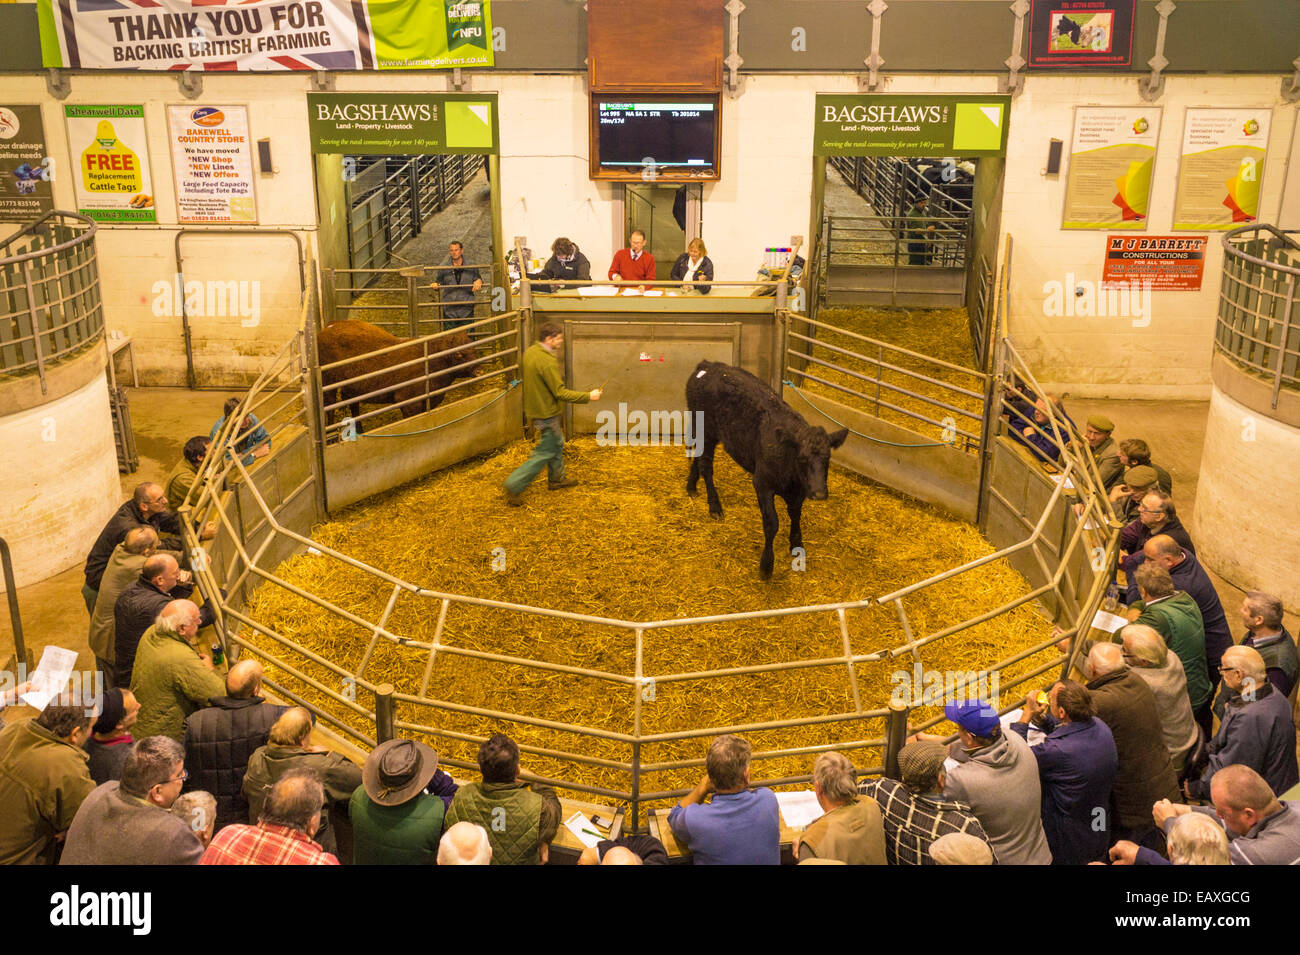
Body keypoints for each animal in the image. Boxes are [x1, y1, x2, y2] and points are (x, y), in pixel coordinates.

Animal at [317, 319, 480, 431]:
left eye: (473, 348)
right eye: (459, 354)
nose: (478, 371)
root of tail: (329, 326)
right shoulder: (407, 401)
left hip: (351, 387)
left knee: (352, 404)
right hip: (328, 382)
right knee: (330, 407)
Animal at [686, 361, 847, 579]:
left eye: (827, 458)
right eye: (802, 458)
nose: (820, 493)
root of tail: (708, 365)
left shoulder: (799, 491)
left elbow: (795, 514)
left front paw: (796, 544)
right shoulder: (762, 483)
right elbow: (772, 523)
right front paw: (766, 565)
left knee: (698, 457)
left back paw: (691, 486)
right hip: (705, 429)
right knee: (706, 466)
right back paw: (715, 507)